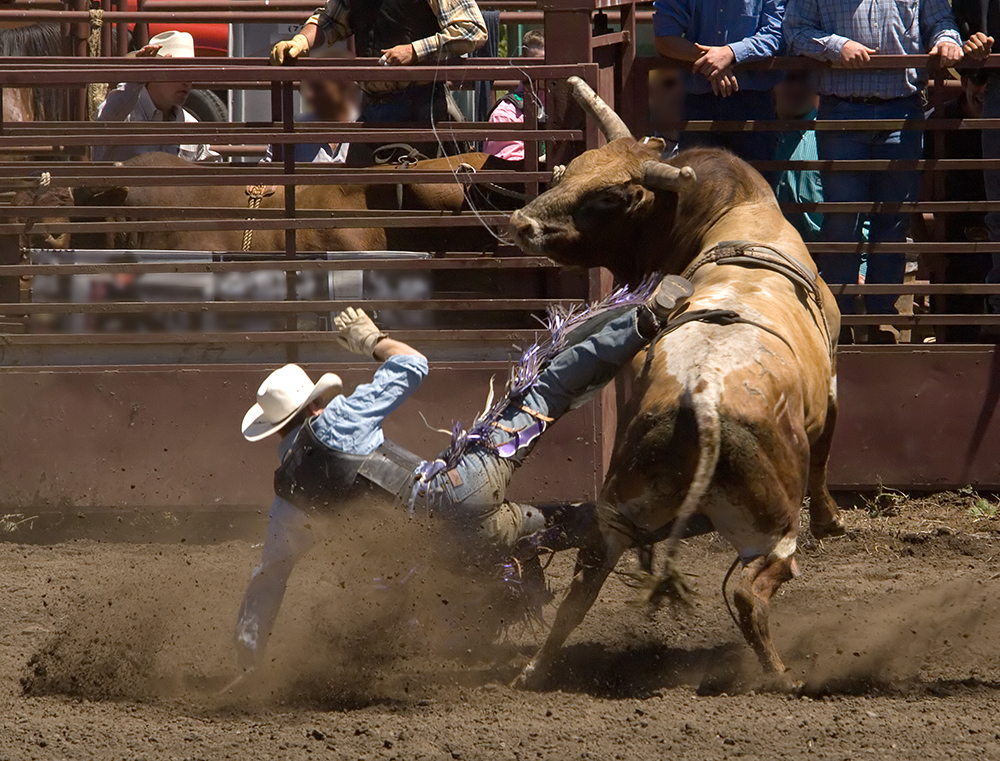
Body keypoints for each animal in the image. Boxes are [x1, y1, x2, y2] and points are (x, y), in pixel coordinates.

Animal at [508, 77, 844, 688]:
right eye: (570, 170)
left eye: (607, 198)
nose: (521, 223)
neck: (735, 215)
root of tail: (703, 402)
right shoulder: (831, 387)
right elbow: (826, 456)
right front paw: (832, 520)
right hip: (771, 530)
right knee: (750, 593)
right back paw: (782, 677)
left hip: (620, 504)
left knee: (581, 585)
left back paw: (535, 669)